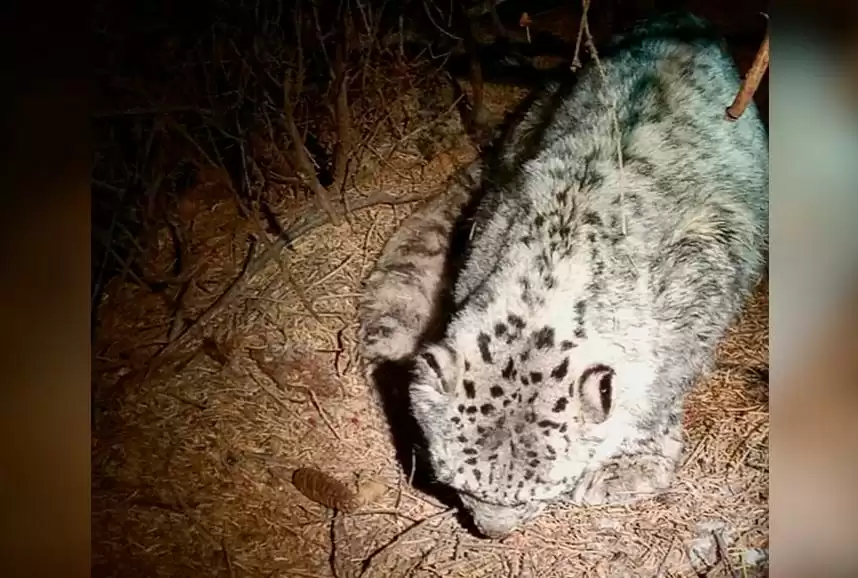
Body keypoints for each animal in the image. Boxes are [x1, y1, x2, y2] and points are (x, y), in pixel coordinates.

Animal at [354, 11, 768, 536]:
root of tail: (682, 18)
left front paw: (629, 464)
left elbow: (664, 389)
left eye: (546, 491)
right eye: (456, 483)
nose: (492, 532)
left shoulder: (698, 295)